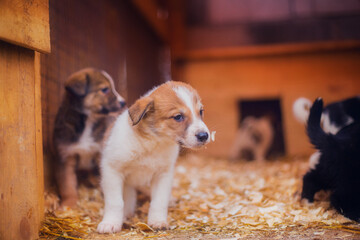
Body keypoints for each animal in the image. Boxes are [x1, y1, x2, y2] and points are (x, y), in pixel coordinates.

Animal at [52, 67, 126, 206]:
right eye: (105, 89)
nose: (124, 102)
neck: (88, 122)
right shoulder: (66, 157)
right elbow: (67, 185)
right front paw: (69, 205)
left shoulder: (100, 155)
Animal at [97, 80, 211, 232]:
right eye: (178, 117)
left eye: (201, 112)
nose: (204, 136)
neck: (151, 143)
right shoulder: (112, 171)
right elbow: (115, 202)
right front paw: (110, 223)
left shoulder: (163, 175)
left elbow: (159, 201)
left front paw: (158, 221)